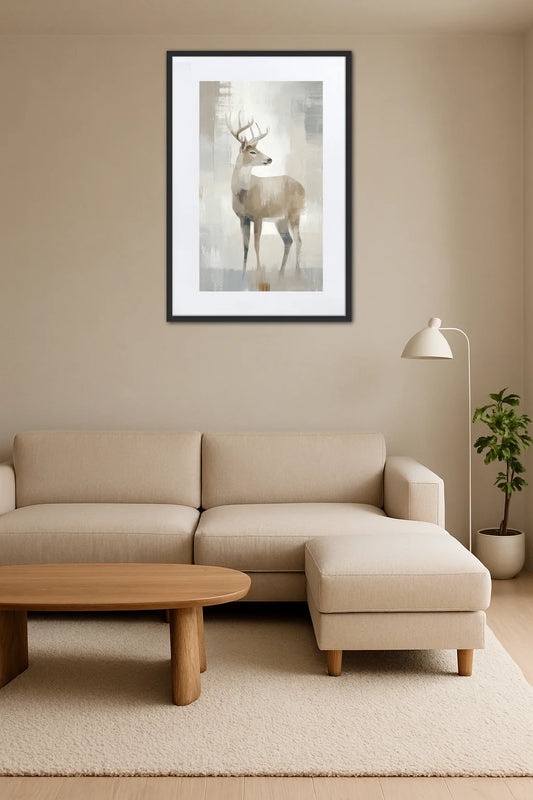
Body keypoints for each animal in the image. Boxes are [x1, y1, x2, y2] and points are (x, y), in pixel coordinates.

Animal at [226, 112, 305, 274]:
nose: (269, 159)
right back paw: (281, 272)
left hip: (295, 213)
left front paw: (258, 270)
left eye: (258, 149)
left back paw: (297, 272)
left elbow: (256, 244)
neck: (243, 193)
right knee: (289, 240)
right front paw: (243, 273)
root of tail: (303, 188)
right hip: (281, 219)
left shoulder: (258, 216)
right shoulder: (243, 218)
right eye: (252, 151)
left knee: (299, 240)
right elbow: (245, 246)